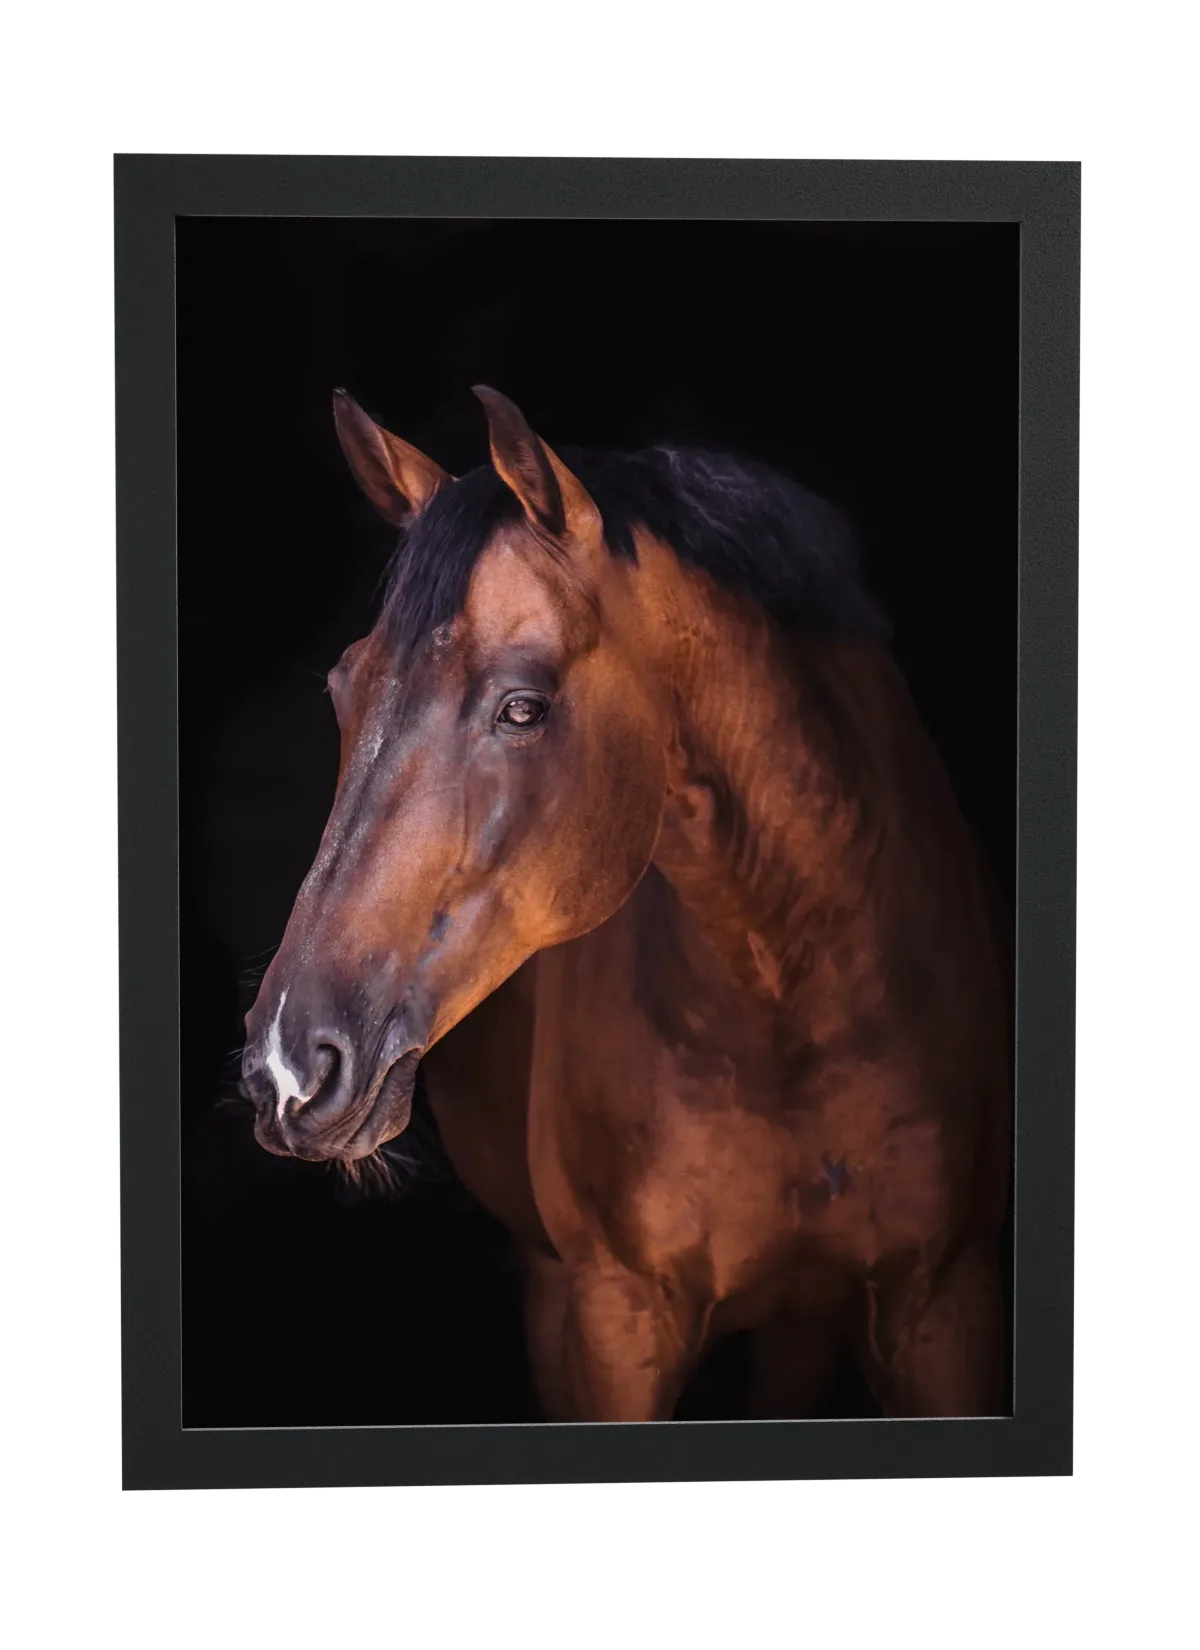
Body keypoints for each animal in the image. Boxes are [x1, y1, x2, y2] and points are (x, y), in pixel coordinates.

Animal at [240, 385, 1013, 1423]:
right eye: (341, 688)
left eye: (523, 706)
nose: (288, 1065)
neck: (795, 992)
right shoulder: (615, 1319)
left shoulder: (946, 1304)